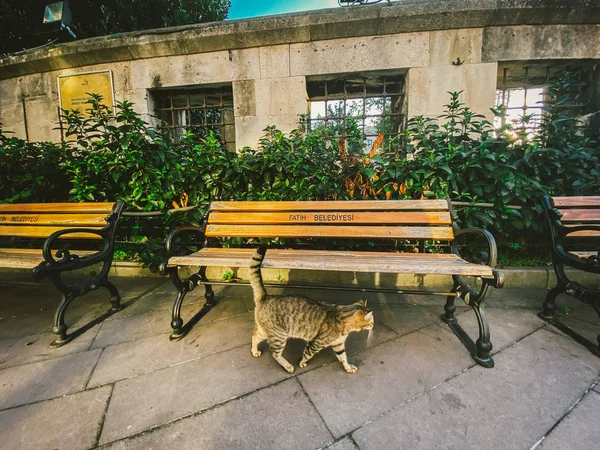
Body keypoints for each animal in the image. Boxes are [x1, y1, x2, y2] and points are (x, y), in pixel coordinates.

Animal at [247, 244, 370, 374]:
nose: (373, 326)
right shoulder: (316, 343)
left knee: (254, 336)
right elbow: (307, 354)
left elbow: (343, 357)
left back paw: (254, 351)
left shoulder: (338, 344)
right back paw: (287, 365)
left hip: (266, 331)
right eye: (371, 321)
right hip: (279, 336)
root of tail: (265, 296)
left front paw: (348, 367)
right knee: (275, 354)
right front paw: (302, 363)